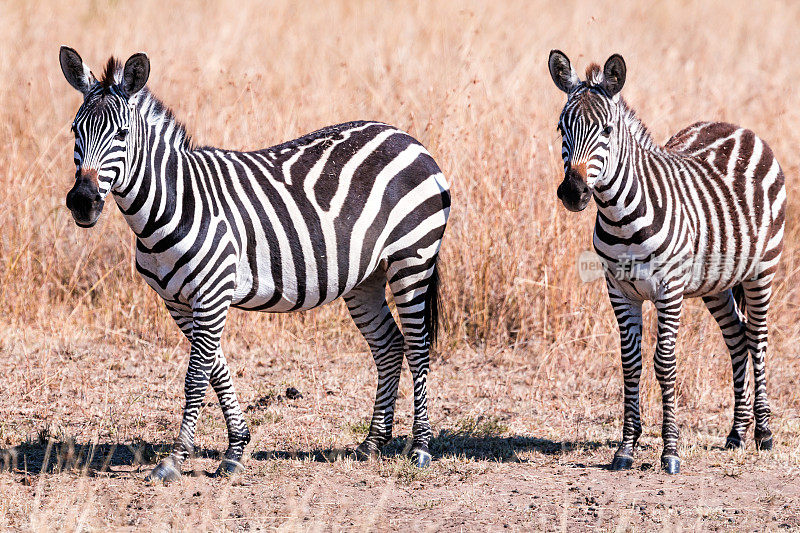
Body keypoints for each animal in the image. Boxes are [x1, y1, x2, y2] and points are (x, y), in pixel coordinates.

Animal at [57, 47, 450, 480]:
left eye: (123, 134)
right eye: (74, 131)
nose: (82, 202)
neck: (168, 207)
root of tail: (405, 136)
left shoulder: (212, 294)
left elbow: (196, 378)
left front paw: (175, 460)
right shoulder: (177, 301)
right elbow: (216, 370)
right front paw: (236, 448)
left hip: (412, 258)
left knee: (417, 345)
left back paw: (421, 448)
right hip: (366, 277)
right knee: (389, 344)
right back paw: (371, 444)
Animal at [548, 51, 784, 474]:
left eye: (607, 130)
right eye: (561, 128)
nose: (573, 193)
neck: (621, 217)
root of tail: (738, 126)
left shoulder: (669, 290)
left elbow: (665, 363)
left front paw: (670, 450)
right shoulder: (619, 291)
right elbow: (630, 364)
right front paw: (626, 448)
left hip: (762, 271)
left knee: (757, 339)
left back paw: (763, 433)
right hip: (716, 283)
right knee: (737, 339)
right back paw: (737, 433)